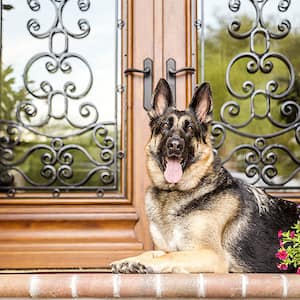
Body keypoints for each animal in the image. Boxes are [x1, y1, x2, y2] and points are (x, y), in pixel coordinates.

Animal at [111, 78, 298, 274]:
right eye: (165, 126)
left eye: (190, 128)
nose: (175, 145)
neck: (174, 192)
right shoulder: (167, 248)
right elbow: (154, 252)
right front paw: (131, 260)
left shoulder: (212, 255)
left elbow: (172, 256)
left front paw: (148, 264)